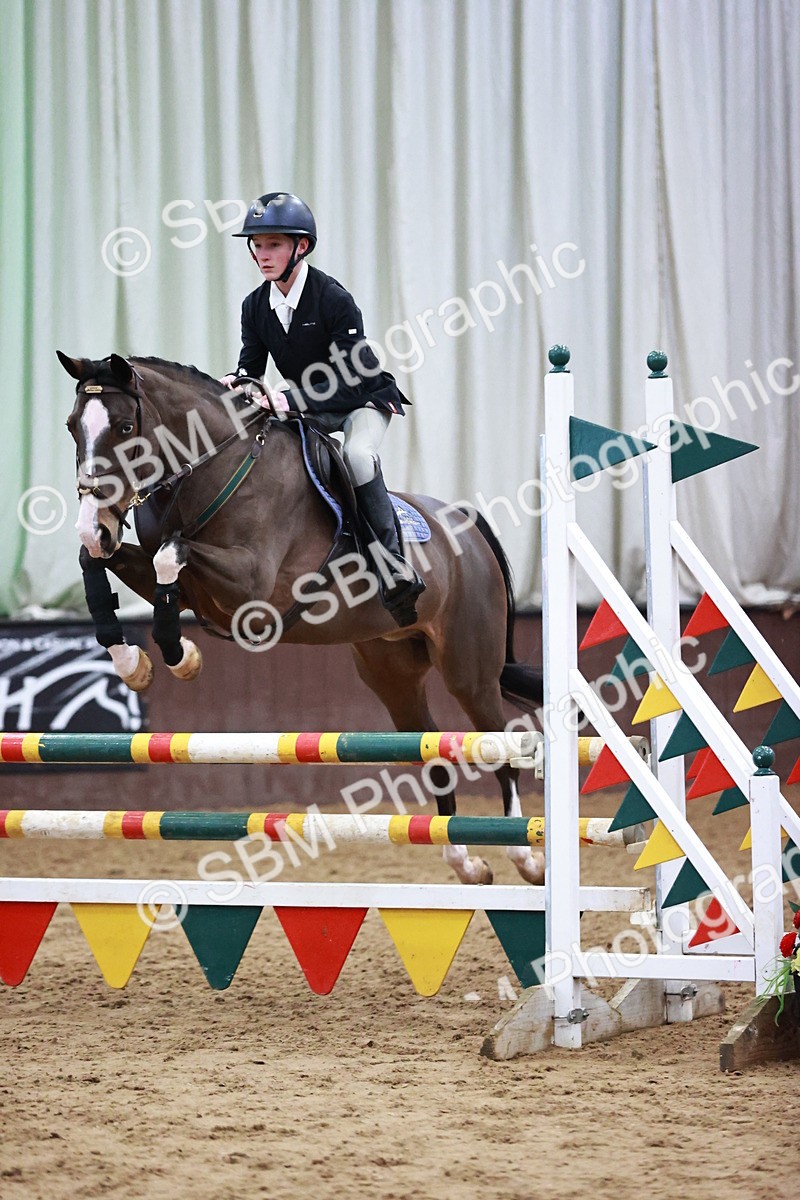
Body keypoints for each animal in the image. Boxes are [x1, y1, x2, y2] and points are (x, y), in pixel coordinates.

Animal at [59, 351, 545, 885]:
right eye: (71, 426)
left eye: (125, 427)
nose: (94, 526)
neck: (213, 469)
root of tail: (467, 524)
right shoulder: (178, 582)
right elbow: (102, 563)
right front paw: (134, 663)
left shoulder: (249, 589)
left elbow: (172, 553)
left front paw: (178, 654)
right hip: (391, 673)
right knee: (433, 748)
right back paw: (466, 862)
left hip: (468, 670)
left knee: (498, 744)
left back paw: (526, 856)